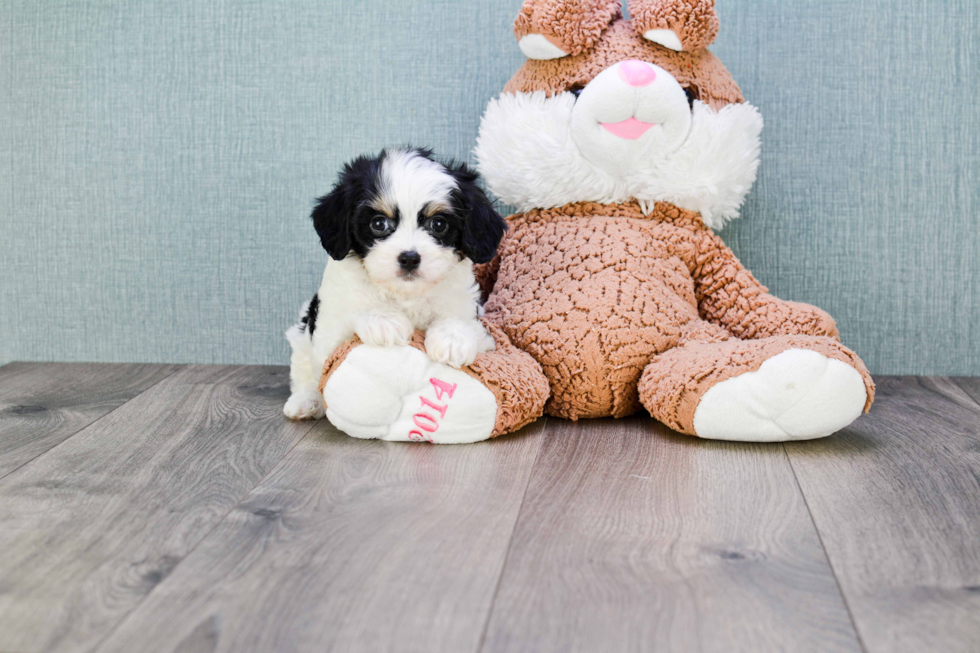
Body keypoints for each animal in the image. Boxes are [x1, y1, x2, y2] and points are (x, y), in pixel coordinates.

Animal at [280, 148, 502, 420]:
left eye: (438, 224)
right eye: (379, 223)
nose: (409, 258)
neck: (405, 294)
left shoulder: (477, 324)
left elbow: (458, 320)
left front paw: (452, 339)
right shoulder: (329, 328)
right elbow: (350, 318)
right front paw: (383, 321)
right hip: (301, 334)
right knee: (305, 374)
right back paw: (306, 401)